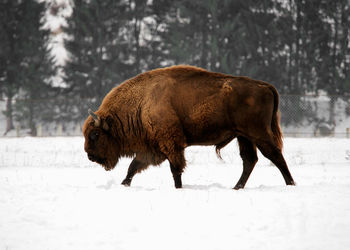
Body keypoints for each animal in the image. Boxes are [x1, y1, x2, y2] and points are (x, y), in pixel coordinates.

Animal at [84, 65, 296, 188]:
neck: (142, 102)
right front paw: (123, 184)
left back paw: (290, 184)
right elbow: (133, 167)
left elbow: (175, 169)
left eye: (95, 134)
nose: (90, 156)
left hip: (258, 133)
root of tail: (265, 86)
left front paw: (179, 188)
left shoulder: (171, 144)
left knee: (274, 155)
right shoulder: (153, 148)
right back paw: (236, 187)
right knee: (250, 160)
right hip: (243, 136)